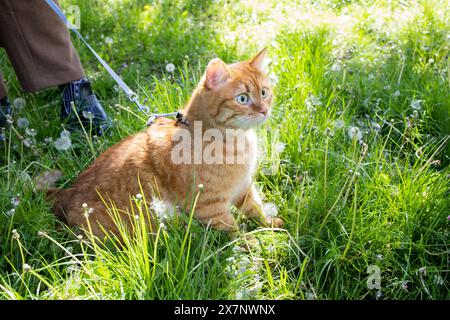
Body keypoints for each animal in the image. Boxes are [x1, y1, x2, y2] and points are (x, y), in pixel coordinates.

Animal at [47, 49, 284, 238]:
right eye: (243, 98)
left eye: (264, 92)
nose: (264, 110)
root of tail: (68, 191)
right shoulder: (210, 206)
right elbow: (234, 232)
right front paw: (251, 246)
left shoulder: (244, 187)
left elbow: (255, 208)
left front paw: (270, 224)